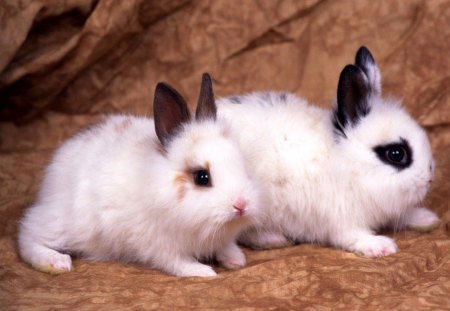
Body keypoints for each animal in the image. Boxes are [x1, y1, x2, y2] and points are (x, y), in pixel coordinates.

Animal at [18, 73, 260, 278]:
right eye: (202, 177)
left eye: (242, 165)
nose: (241, 205)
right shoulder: (159, 243)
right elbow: (177, 262)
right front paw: (203, 272)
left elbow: (225, 246)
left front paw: (236, 259)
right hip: (62, 223)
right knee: (27, 233)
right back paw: (56, 262)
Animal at [218, 47, 440, 258]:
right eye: (396, 154)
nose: (429, 178)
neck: (349, 166)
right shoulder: (341, 219)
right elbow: (352, 236)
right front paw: (380, 246)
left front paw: (428, 219)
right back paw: (272, 239)